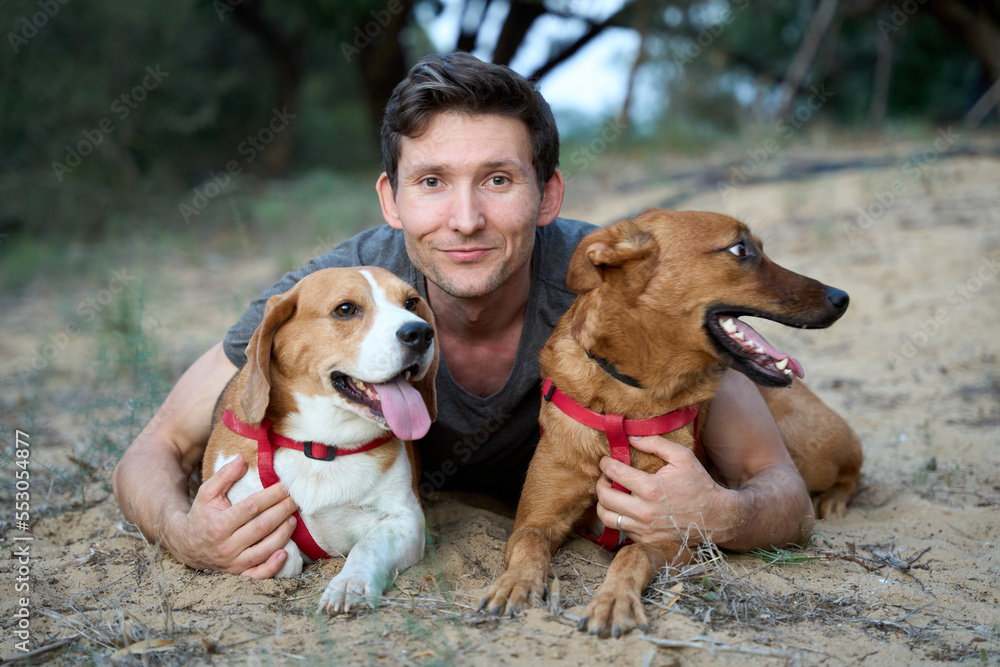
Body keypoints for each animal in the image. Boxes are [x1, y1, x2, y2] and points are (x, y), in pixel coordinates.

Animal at [480, 209, 864, 636]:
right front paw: (515, 584)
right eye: (741, 249)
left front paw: (613, 601)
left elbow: (628, 558)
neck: (624, 405)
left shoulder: (667, 536)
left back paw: (835, 500)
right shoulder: (536, 519)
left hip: (811, 452)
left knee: (853, 464)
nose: (842, 297)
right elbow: (529, 544)